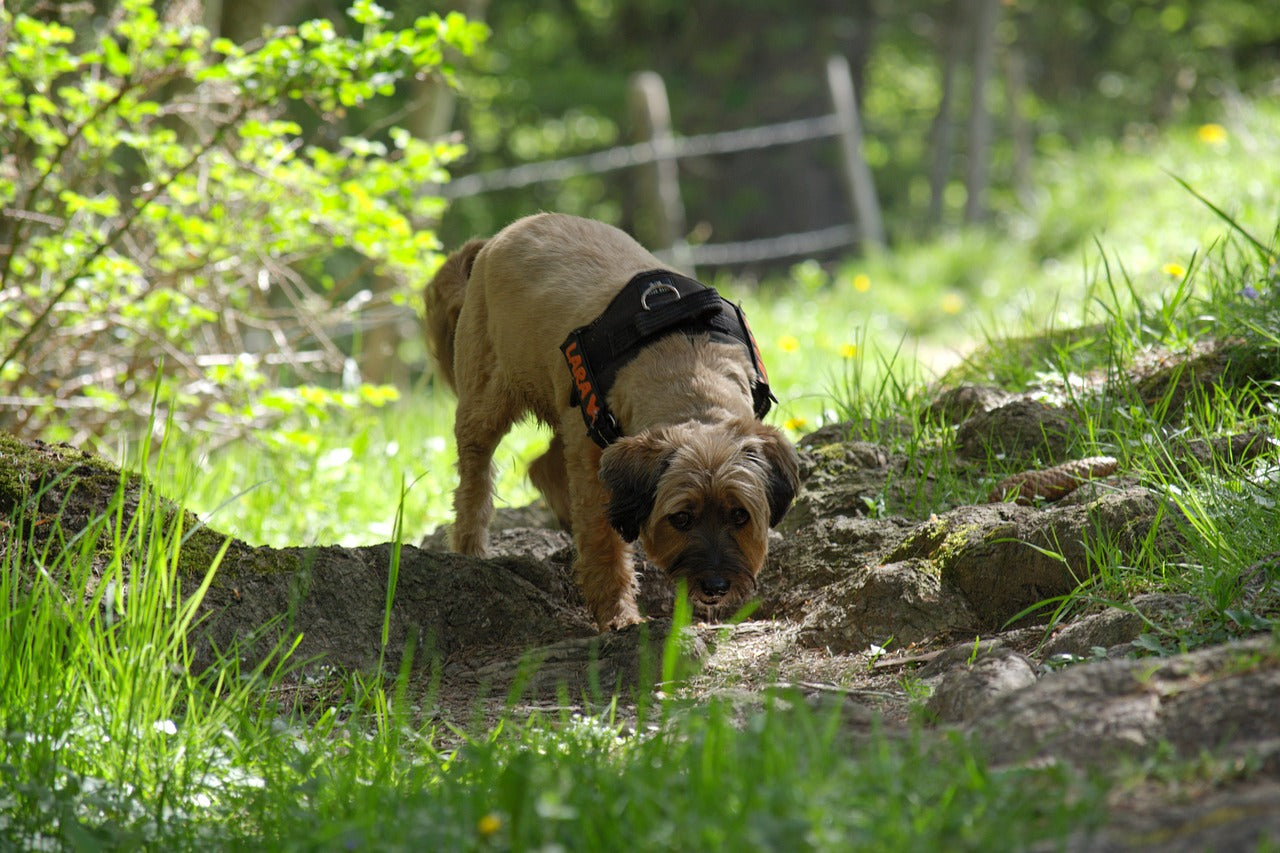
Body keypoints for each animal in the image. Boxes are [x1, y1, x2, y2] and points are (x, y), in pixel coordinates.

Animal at [424, 211, 793, 625]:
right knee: (475, 479)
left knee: (544, 464)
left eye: (739, 515)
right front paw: (619, 615)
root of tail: (492, 241)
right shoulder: (593, 470)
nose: (715, 585)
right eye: (681, 518)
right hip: (488, 400)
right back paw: (470, 550)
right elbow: (603, 544)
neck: (687, 368)